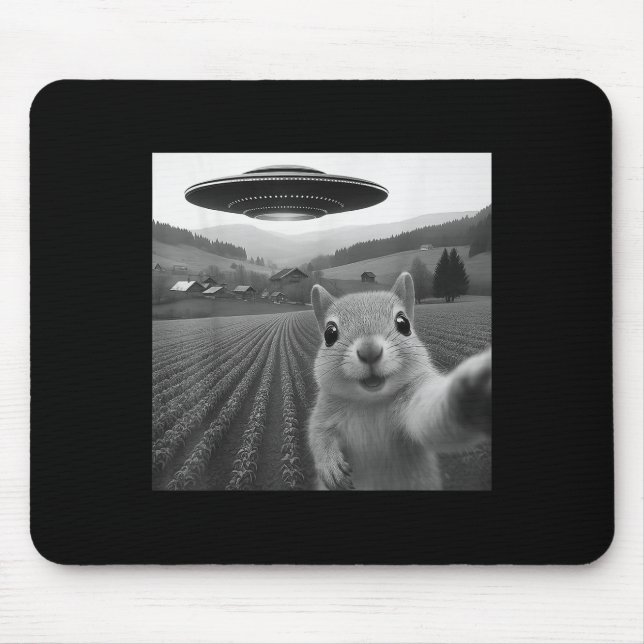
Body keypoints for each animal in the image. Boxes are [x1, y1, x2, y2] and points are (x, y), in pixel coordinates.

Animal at [307, 272, 491, 490]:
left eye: (404, 323)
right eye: (330, 333)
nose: (369, 351)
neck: (371, 402)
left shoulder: (413, 396)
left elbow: (430, 418)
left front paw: (470, 395)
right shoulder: (325, 409)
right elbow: (318, 434)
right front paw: (329, 465)